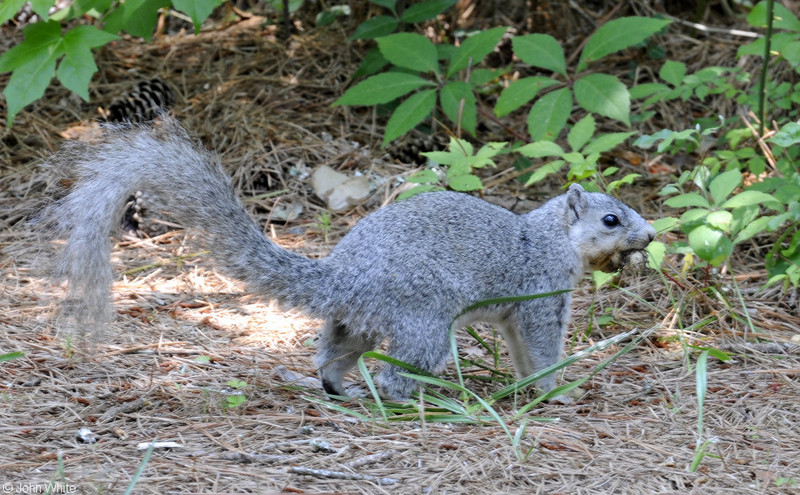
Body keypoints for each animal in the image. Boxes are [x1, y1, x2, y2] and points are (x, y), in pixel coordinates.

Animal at [39, 118, 656, 402]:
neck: (549, 238)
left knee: (334, 358)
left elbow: (523, 353)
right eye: (611, 220)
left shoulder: (513, 315)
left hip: (354, 322)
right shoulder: (539, 296)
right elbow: (543, 347)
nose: (650, 236)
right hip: (423, 319)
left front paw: (534, 389)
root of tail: (343, 277)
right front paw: (560, 389)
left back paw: (341, 389)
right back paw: (406, 401)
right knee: (397, 371)